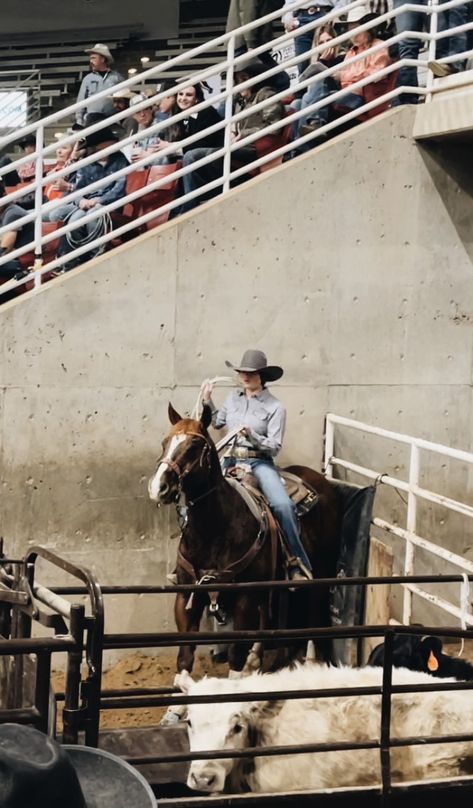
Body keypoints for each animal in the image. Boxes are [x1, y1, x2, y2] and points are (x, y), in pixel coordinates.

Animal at [148, 404, 340, 676]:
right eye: (165, 442)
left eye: (194, 447)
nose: (158, 487)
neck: (214, 530)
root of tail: (322, 480)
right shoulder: (186, 598)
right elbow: (184, 658)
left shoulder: (243, 599)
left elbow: (235, 657)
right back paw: (256, 659)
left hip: (323, 569)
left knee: (314, 610)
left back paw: (311, 662)